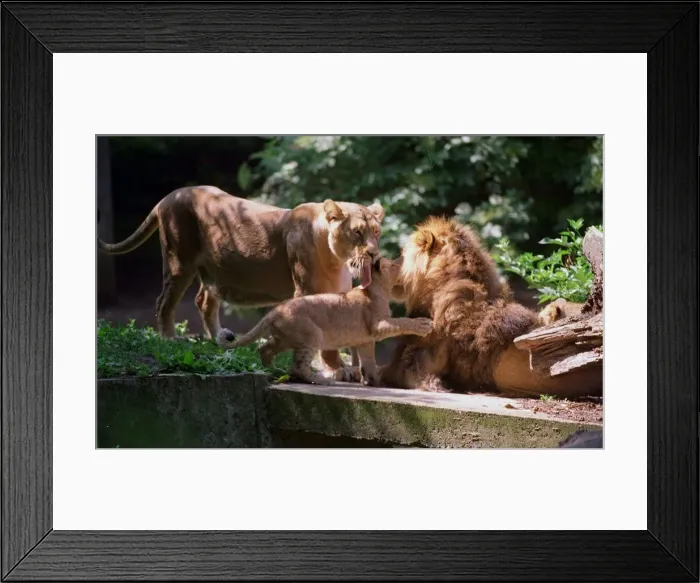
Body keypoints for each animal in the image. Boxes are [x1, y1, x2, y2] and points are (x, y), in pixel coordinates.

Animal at [97, 185, 385, 376]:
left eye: (376, 231)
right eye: (357, 232)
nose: (373, 254)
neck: (337, 259)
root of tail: (170, 195)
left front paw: (347, 365)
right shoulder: (305, 291)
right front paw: (332, 367)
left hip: (213, 271)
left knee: (203, 301)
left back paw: (219, 338)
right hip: (179, 261)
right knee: (164, 302)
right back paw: (169, 339)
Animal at [219, 257, 433, 386]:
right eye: (395, 266)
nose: (404, 266)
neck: (376, 290)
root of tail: (274, 311)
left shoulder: (365, 340)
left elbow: (369, 362)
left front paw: (372, 382)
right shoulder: (378, 326)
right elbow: (402, 322)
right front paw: (423, 324)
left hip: (285, 339)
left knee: (264, 348)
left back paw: (272, 370)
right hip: (312, 334)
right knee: (298, 366)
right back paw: (322, 380)